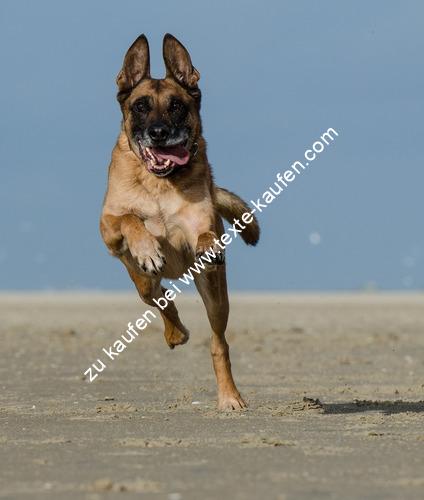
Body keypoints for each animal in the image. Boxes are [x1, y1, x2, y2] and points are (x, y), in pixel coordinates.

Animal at [100, 34, 258, 410]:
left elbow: (204, 235)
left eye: (176, 106)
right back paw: (175, 330)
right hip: (141, 281)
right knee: (158, 296)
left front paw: (207, 246)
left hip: (216, 296)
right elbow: (130, 217)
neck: (160, 181)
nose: (159, 133)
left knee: (218, 342)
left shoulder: (201, 226)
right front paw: (147, 248)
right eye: (141, 106)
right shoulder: (107, 226)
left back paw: (229, 397)